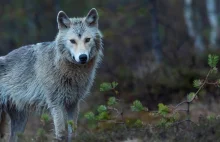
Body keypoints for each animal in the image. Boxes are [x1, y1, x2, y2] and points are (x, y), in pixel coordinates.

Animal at [0, 8, 102, 141]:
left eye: (87, 39)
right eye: (72, 41)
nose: (83, 57)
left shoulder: (73, 104)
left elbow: (73, 133)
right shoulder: (56, 104)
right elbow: (61, 133)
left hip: (20, 121)